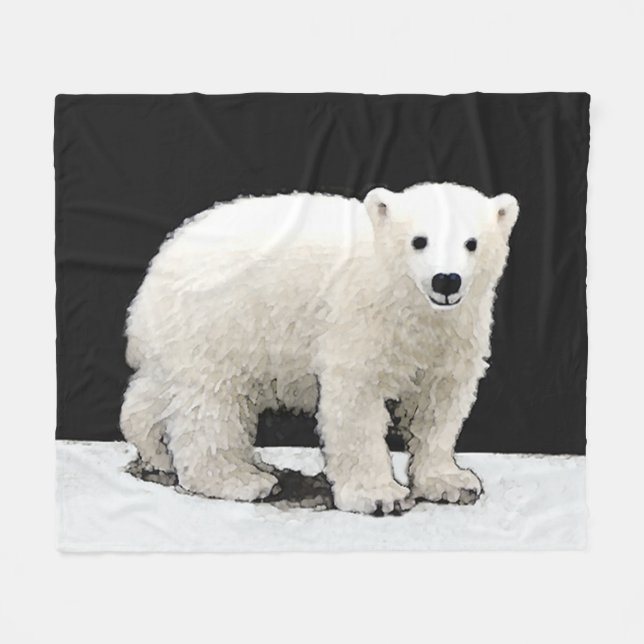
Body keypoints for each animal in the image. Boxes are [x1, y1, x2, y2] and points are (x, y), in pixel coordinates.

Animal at [121, 182, 519, 515]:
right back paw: (241, 479)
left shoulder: (455, 334)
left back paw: (159, 451)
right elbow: (356, 402)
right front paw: (380, 496)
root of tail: (161, 261)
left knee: (158, 391)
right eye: (419, 240)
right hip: (219, 322)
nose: (446, 280)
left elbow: (438, 406)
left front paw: (452, 482)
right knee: (211, 404)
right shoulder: (359, 318)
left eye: (471, 243)